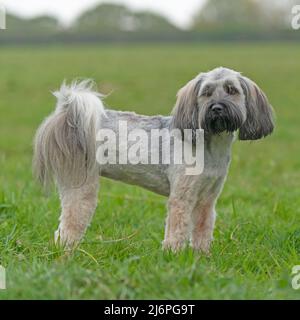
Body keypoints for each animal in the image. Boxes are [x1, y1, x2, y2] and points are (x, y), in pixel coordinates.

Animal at [32, 68, 274, 252]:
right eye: (206, 93)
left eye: (232, 90)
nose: (217, 108)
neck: (211, 145)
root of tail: (67, 114)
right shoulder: (181, 197)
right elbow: (177, 230)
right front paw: (173, 255)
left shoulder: (207, 199)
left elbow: (203, 231)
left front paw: (202, 256)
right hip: (81, 187)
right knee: (68, 226)